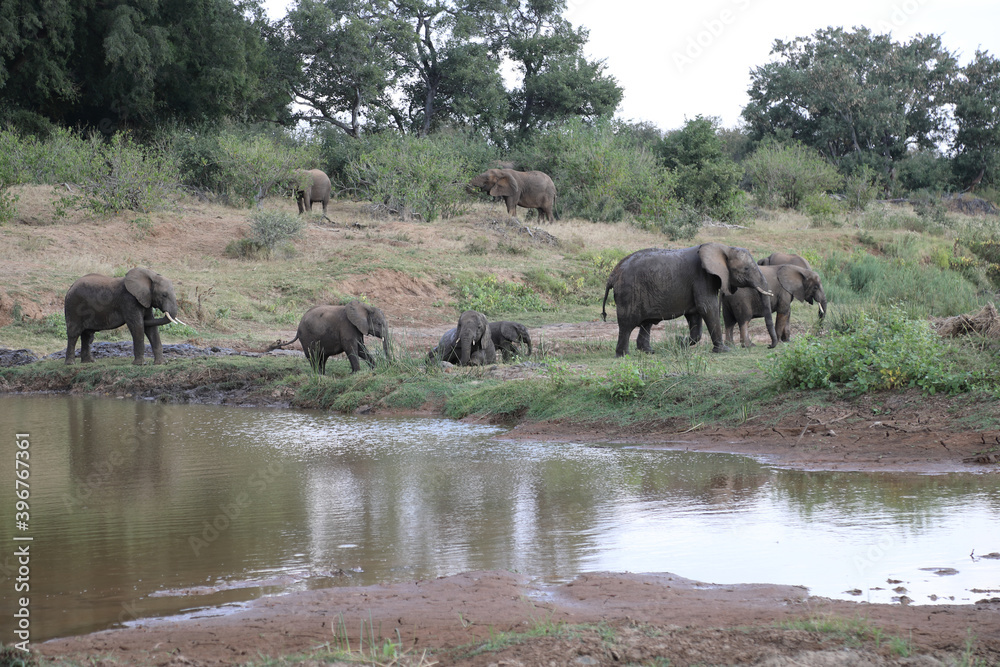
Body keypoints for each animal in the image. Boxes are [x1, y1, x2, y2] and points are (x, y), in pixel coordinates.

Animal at [601, 244, 773, 356]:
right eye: (746, 269)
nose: (770, 347)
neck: (723, 247)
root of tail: (612, 275)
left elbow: (696, 314)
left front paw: (680, 343)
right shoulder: (702, 277)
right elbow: (707, 308)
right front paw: (724, 350)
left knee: (646, 323)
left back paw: (649, 351)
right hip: (629, 293)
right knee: (627, 324)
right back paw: (624, 355)